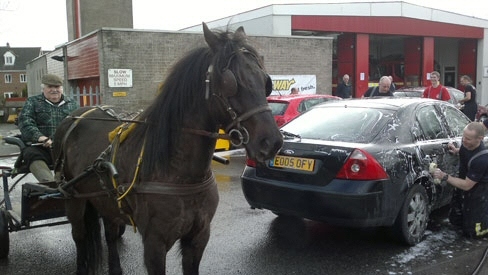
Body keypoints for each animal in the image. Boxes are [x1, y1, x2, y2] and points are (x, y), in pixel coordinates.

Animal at [51, 23, 282, 275]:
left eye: (265, 81)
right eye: (229, 82)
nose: (272, 142)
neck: (179, 172)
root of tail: (76, 115)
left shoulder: (198, 237)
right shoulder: (154, 243)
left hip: (107, 202)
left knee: (110, 234)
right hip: (74, 199)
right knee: (80, 237)